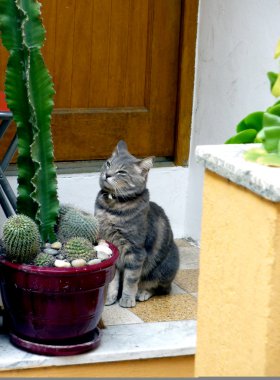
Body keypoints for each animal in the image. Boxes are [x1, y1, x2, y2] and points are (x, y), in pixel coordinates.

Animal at [94, 141, 179, 308]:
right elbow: (113, 280)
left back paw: (142, 293)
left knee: (159, 288)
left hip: (165, 268)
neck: (112, 209)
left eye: (121, 172)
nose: (107, 174)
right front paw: (109, 298)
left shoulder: (135, 251)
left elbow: (130, 279)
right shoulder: (111, 246)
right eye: (108, 163)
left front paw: (127, 299)